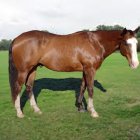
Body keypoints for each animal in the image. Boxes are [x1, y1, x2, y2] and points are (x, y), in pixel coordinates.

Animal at [9, 26, 140, 118]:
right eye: (126, 43)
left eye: (136, 43)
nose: (135, 64)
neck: (95, 42)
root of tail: (16, 39)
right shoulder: (90, 69)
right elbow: (90, 89)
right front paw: (93, 111)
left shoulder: (85, 70)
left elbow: (82, 87)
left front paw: (80, 107)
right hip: (23, 70)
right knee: (18, 88)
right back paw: (19, 113)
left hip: (33, 69)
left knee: (29, 87)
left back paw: (36, 109)